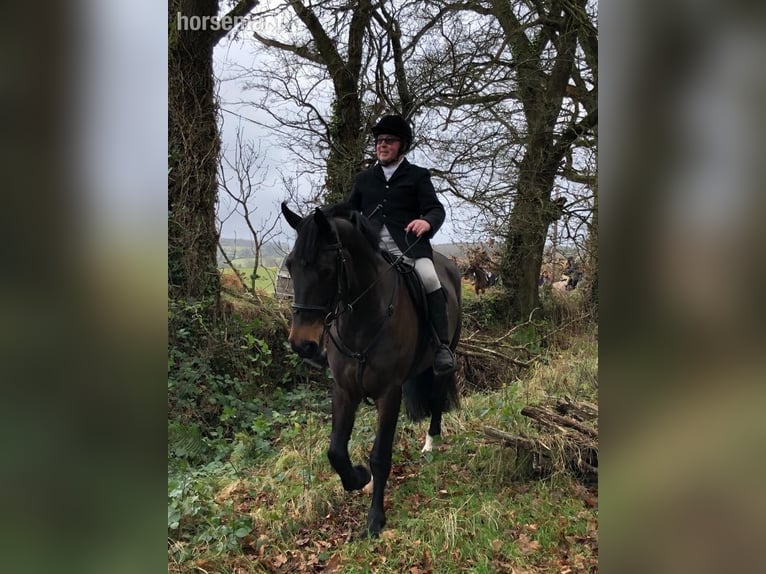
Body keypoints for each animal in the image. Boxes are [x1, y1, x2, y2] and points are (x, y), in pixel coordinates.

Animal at [280, 201, 461, 538]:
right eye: (291, 265)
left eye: (326, 269)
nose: (302, 344)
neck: (362, 318)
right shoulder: (344, 390)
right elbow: (336, 451)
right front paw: (358, 478)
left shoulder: (388, 393)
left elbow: (380, 456)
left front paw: (375, 518)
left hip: (446, 355)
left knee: (438, 395)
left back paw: (431, 441)